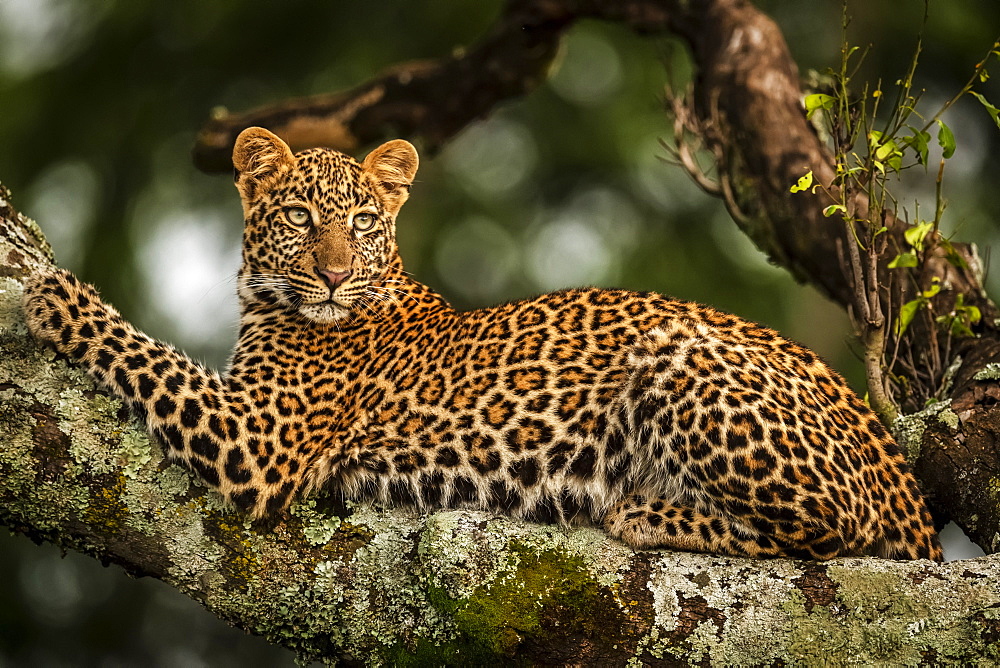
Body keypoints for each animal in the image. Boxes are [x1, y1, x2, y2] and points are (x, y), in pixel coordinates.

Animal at [25, 128, 944, 560]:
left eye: (362, 223)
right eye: (299, 217)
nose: (333, 275)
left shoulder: (261, 439)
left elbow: (150, 354)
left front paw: (57, 293)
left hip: (676, 349)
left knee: (838, 527)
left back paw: (644, 509)